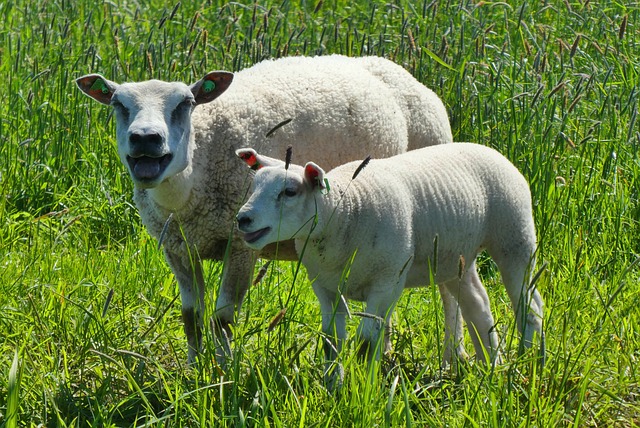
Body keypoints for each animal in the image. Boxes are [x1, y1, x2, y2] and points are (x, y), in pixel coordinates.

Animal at [74, 54, 460, 364]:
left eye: (186, 103)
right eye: (118, 104)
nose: (146, 139)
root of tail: (396, 68)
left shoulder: (240, 244)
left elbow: (223, 319)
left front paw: (222, 375)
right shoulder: (177, 246)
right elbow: (192, 317)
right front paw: (193, 372)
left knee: (449, 289)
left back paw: (452, 358)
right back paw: (390, 351)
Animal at [235, 143, 544, 388]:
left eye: (289, 192)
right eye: (254, 186)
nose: (243, 219)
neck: (344, 212)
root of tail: (492, 150)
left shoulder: (387, 282)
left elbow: (367, 341)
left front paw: (361, 387)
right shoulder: (324, 286)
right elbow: (331, 340)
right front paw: (334, 385)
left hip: (515, 239)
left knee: (530, 306)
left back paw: (530, 361)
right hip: (455, 259)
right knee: (478, 305)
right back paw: (491, 365)